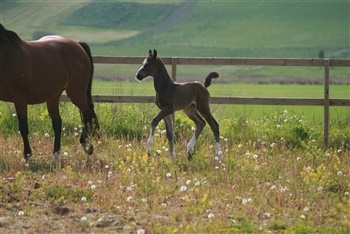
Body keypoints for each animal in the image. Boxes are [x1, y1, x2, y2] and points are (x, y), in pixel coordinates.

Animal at [0, 24, 98, 162]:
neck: (7, 54)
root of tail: (78, 44)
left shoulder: (20, 98)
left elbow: (23, 127)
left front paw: (27, 156)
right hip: (54, 96)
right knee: (57, 122)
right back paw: (56, 155)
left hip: (76, 93)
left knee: (87, 113)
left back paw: (87, 146)